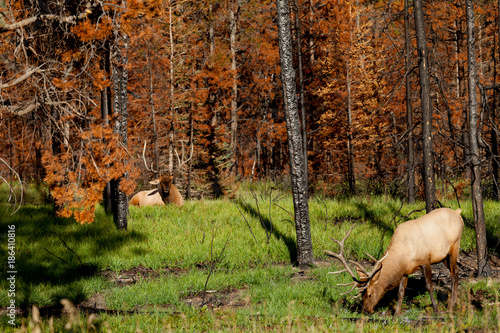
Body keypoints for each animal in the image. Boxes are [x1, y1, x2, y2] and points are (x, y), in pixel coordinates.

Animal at [326, 208, 462, 314]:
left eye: (369, 294)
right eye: (361, 294)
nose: (366, 310)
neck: (403, 255)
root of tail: (458, 212)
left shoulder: (425, 260)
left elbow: (428, 286)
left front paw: (436, 309)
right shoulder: (405, 270)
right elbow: (400, 292)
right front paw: (396, 314)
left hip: (455, 245)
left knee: (453, 272)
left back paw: (451, 305)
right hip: (444, 256)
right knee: (457, 269)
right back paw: (455, 302)